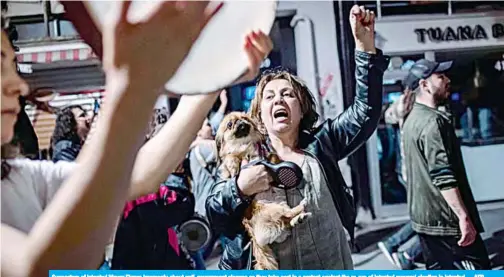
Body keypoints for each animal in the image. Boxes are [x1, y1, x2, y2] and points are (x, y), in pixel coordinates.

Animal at [214, 111, 310, 268]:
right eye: (229, 124)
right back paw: (300, 209)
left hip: (279, 207)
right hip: (272, 208)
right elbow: (230, 157)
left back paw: (299, 218)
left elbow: (271, 156)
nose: (241, 122)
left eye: (245, 118)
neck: (245, 144)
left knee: (288, 220)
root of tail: (255, 237)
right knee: (287, 215)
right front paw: (233, 166)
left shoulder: (267, 154)